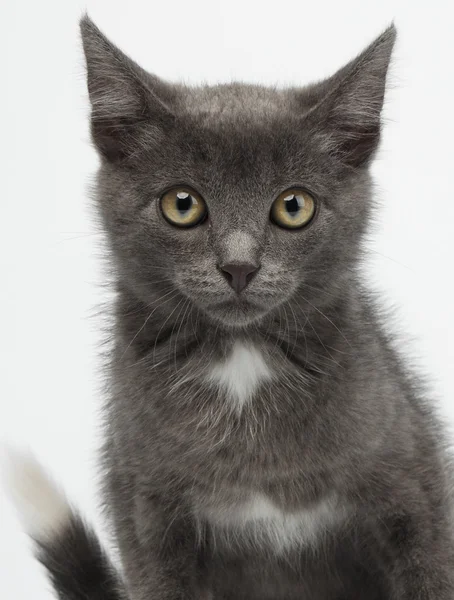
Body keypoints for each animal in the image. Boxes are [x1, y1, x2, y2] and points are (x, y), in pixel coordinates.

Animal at [7, 12, 454, 600]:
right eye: (182, 204)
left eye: (294, 206)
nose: (239, 266)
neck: (242, 362)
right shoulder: (146, 512)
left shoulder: (415, 483)